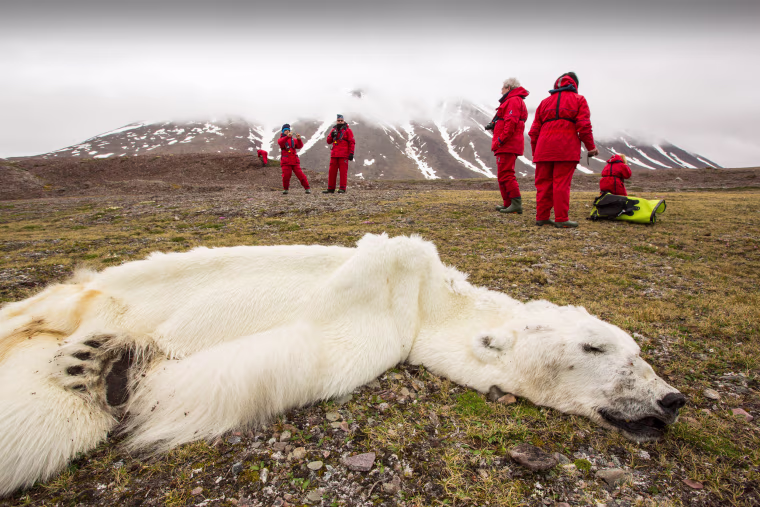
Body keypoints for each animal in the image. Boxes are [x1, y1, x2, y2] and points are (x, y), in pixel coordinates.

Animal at [0, 233, 685, 497]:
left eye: (637, 353)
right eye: (597, 347)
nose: (671, 399)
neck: (427, 303)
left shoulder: (376, 336)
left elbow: (283, 357)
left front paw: (121, 371)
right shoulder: (388, 289)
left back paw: (94, 363)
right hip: (96, 290)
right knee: (45, 308)